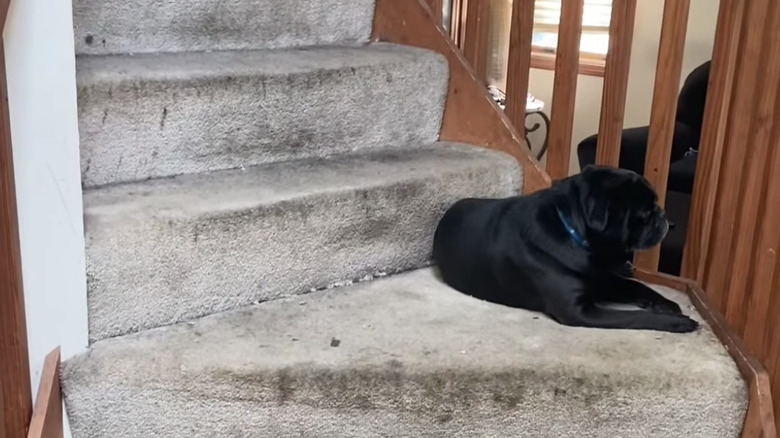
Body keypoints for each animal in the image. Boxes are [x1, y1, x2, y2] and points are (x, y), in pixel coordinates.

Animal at [432, 166, 700, 334]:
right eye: (645, 213)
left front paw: (666, 303)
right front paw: (675, 321)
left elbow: (636, 286)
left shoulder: (604, 280)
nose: (663, 216)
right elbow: (635, 317)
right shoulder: (578, 311)